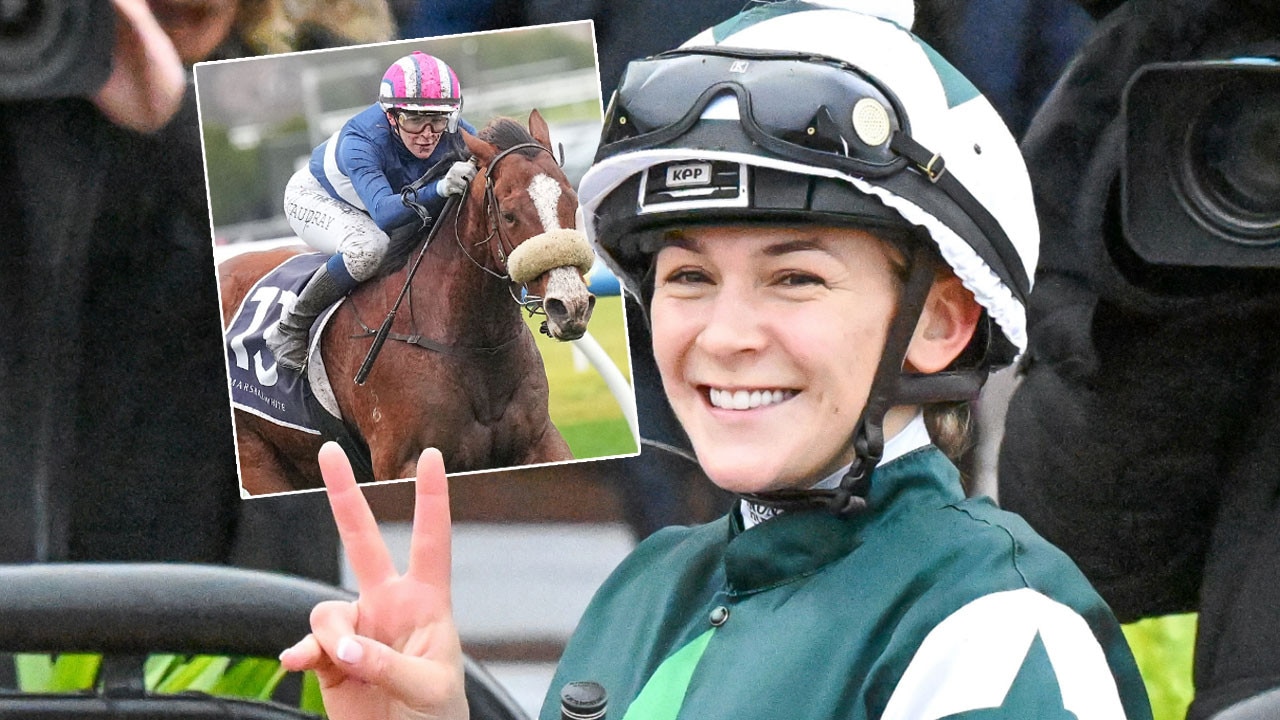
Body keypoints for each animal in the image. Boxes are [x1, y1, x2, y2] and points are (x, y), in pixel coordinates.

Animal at [217, 112, 596, 491]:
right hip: (258, 461)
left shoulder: (541, 442)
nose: (570, 305)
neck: (472, 344)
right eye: (508, 214)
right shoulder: (402, 462)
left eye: (571, 201)